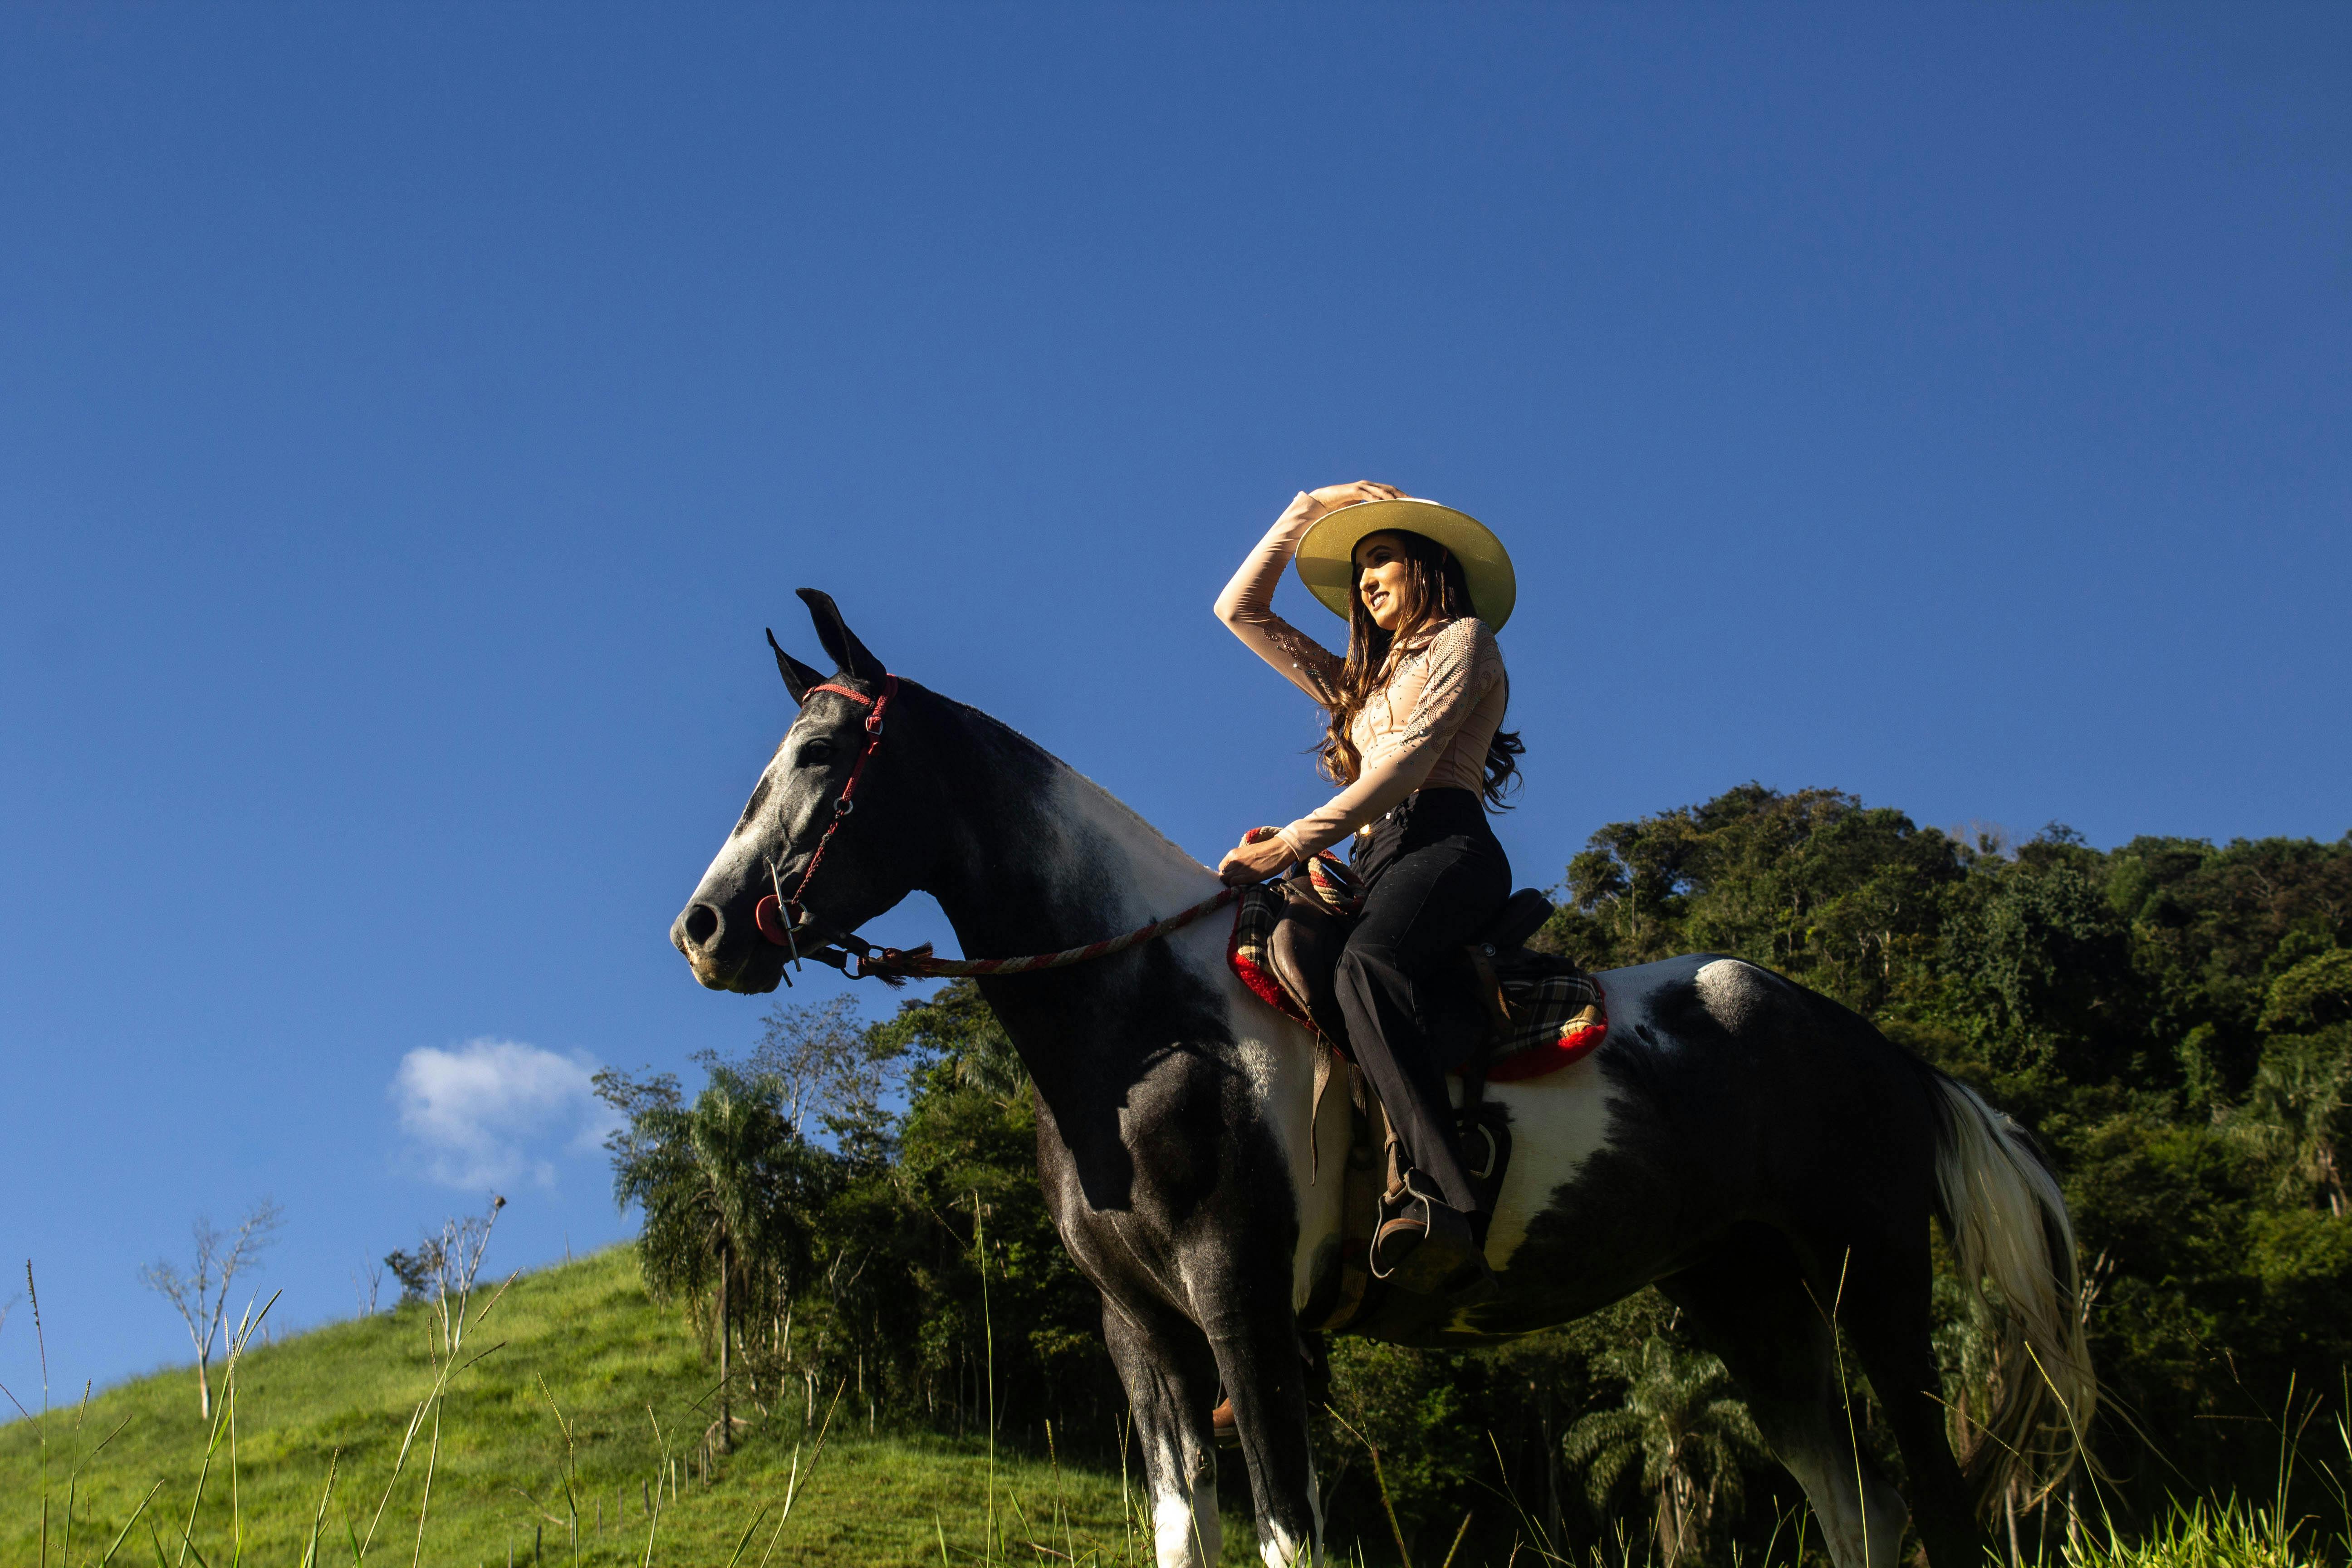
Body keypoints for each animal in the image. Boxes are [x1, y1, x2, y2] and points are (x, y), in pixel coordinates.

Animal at [672, 588, 2088, 1568]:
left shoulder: (1242, 1304)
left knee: (1933, 1493)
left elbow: (1288, 1533)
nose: (707, 929)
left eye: (820, 758)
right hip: (1748, 1302)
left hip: (1875, 1280)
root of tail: (1872, 1043)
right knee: (1862, 1508)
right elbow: (1184, 1535)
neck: (1141, 1020)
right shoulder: (1141, 1331)